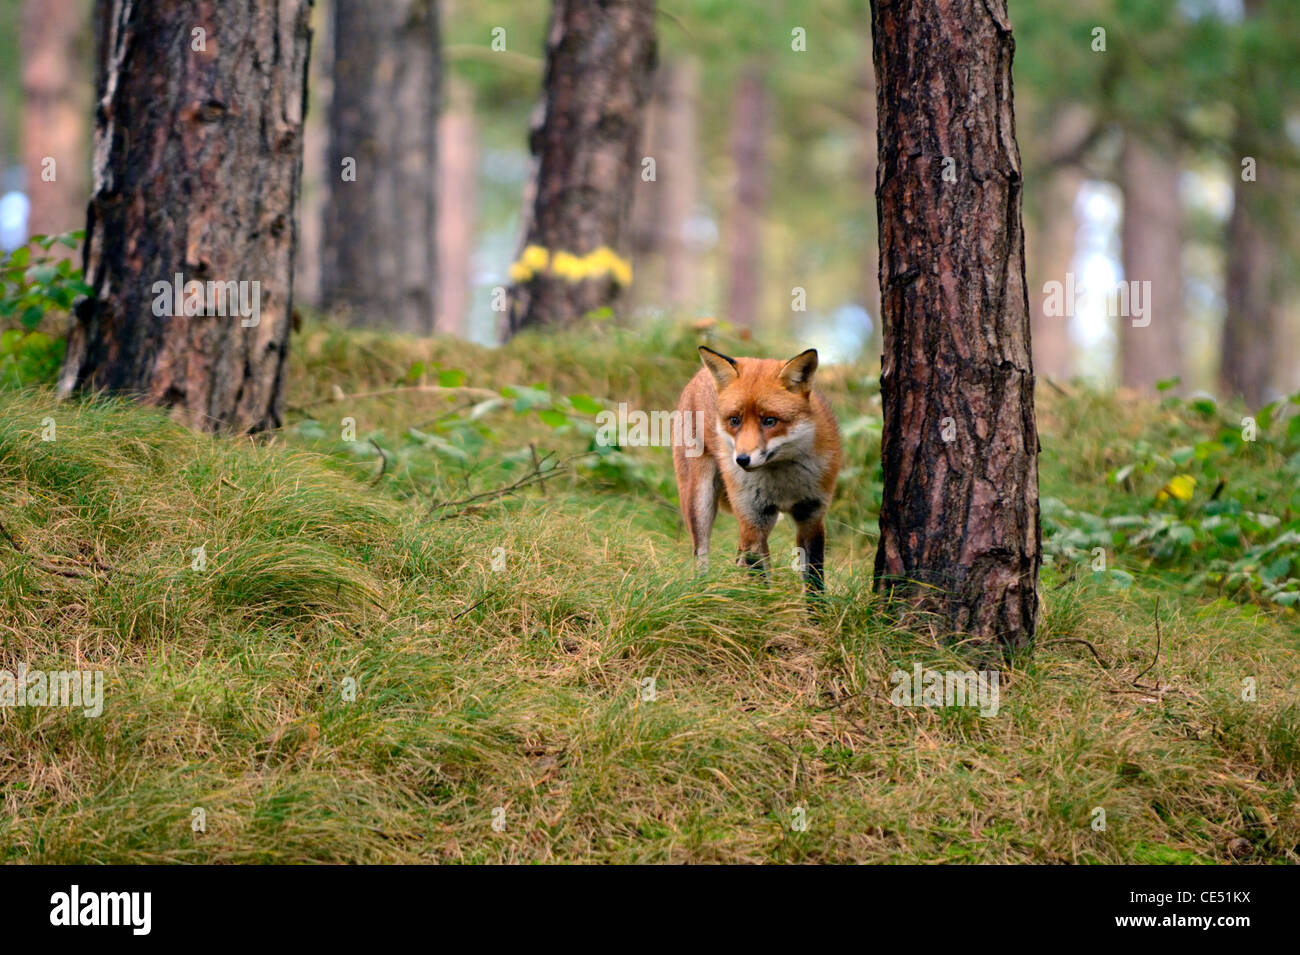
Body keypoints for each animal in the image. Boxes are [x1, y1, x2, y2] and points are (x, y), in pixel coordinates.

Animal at [670, 348, 842, 595]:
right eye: (735, 420)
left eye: (770, 421)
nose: (741, 460)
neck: (783, 484)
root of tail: (699, 374)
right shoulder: (753, 518)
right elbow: (760, 579)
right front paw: (765, 605)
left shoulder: (812, 515)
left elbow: (814, 580)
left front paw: (816, 607)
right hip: (700, 502)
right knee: (701, 555)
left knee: (738, 555)